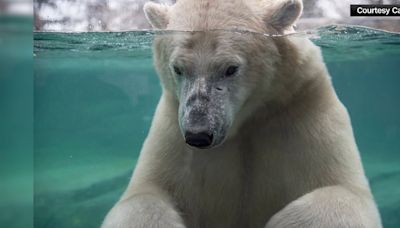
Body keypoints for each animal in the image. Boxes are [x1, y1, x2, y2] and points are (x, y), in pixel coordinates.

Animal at [102, 0, 382, 228]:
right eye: (178, 68)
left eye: (230, 68)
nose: (199, 134)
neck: (246, 121)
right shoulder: (173, 128)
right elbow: (145, 194)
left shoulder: (302, 110)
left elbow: (341, 190)